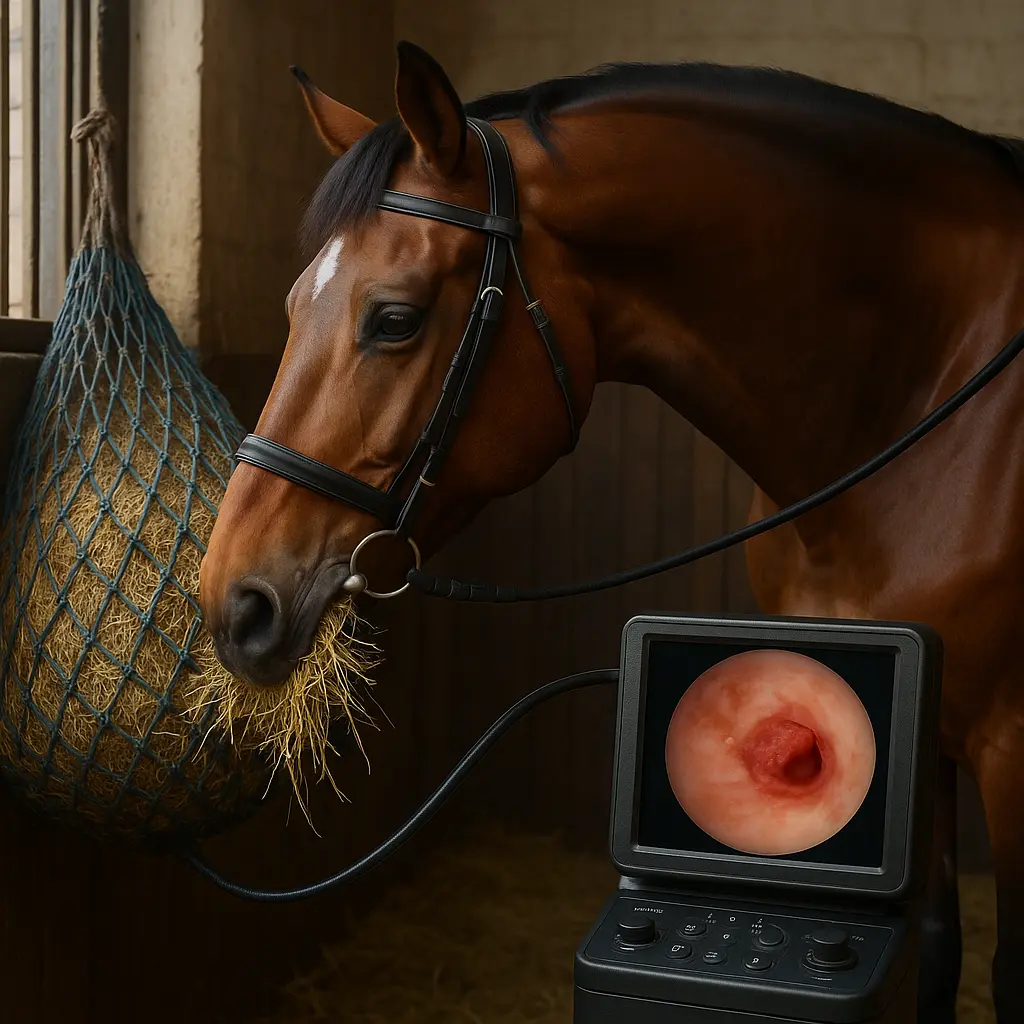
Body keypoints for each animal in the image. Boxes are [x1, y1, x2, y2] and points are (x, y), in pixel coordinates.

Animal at [197, 41, 1024, 1022]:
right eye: (292, 307)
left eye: (394, 318)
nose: (234, 599)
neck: (913, 394)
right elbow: (931, 954)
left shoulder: (1007, 749)